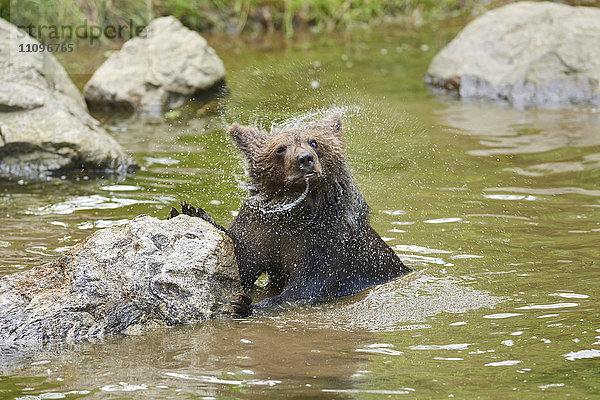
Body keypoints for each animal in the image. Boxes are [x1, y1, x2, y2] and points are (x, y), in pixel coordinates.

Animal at [171, 114, 410, 318]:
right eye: (281, 148)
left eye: (314, 142)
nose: (304, 159)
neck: (296, 210)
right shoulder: (262, 224)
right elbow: (242, 261)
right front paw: (192, 211)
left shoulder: (327, 237)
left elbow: (306, 286)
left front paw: (246, 305)